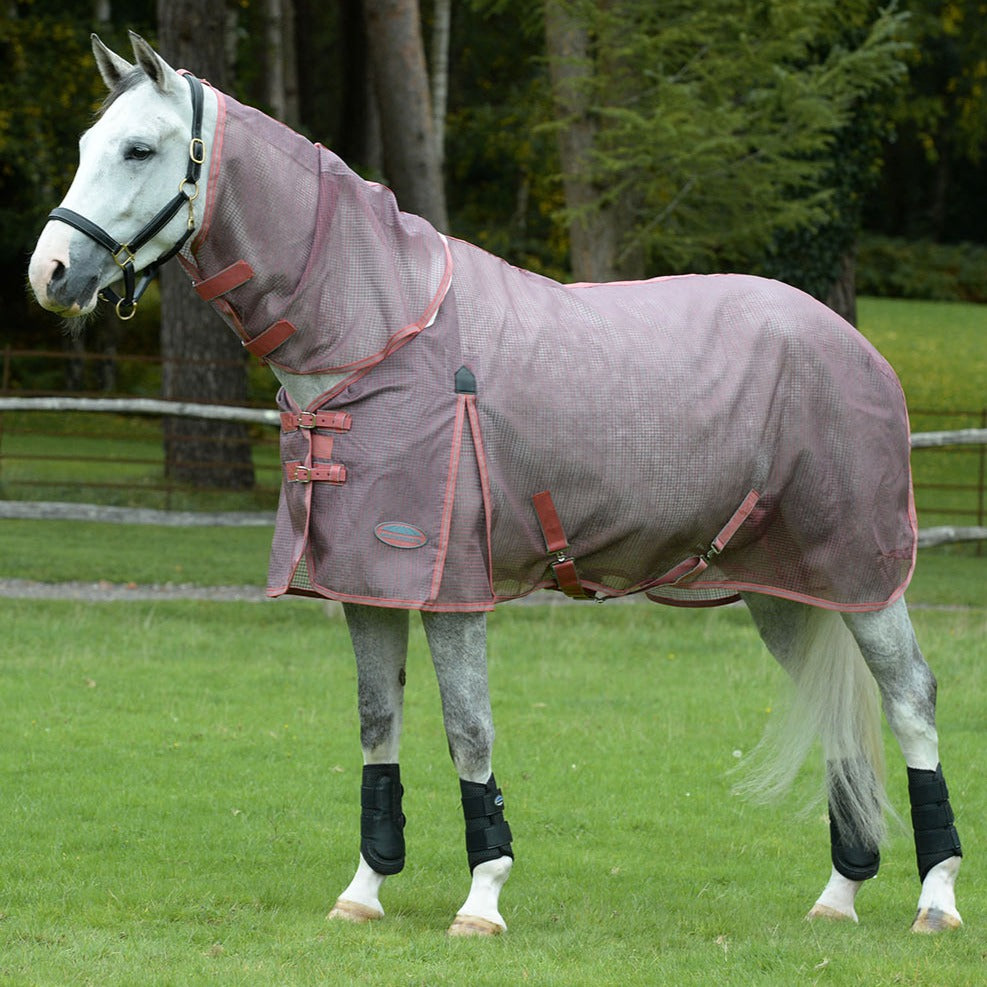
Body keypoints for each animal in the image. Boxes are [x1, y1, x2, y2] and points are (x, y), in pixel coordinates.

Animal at [29, 34, 964, 936]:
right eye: (83, 146)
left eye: (139, 149)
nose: (50, 273)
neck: (380, 332)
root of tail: (852, 343)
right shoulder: (365, 585)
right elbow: (377, 725)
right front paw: (364, 889)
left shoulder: (453, 589)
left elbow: (467, 730)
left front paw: (481, 899)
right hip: (785, 588)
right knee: (836, 708)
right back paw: (837, 897)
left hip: (863, 577)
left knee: (910, 699)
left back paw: (935, 898)